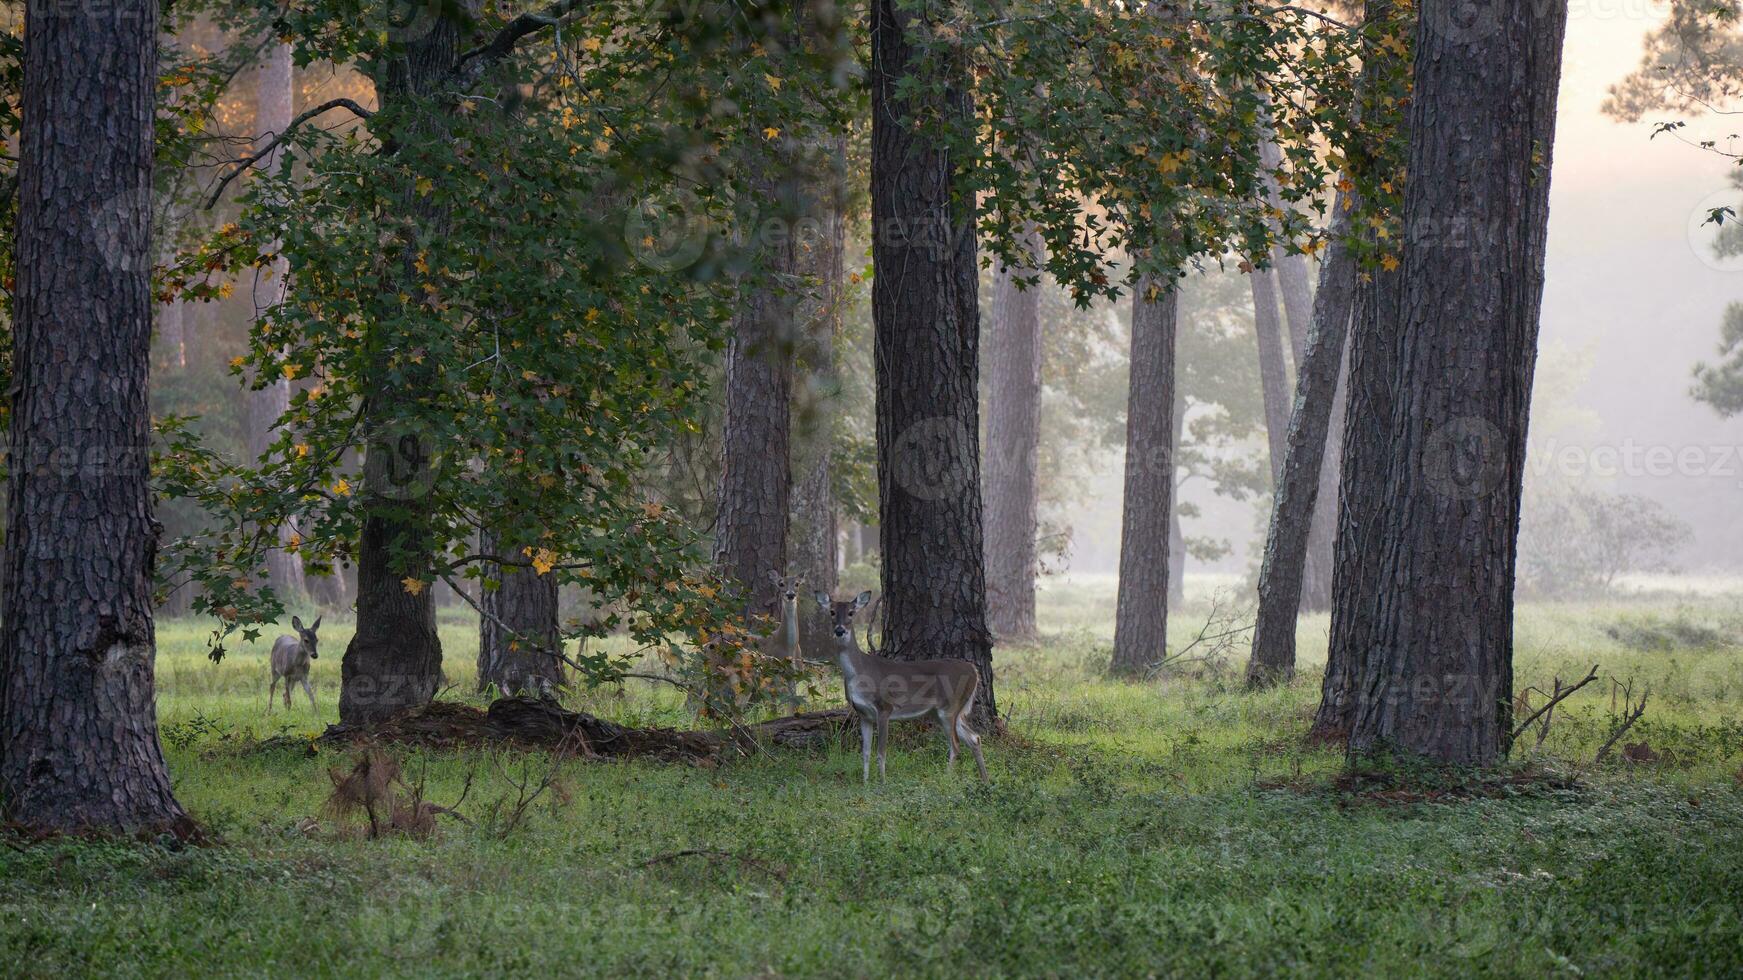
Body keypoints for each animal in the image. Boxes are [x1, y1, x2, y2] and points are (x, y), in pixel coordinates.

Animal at [812, 582, 990, 781]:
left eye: (851, 612)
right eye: (832, 612)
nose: (840, 630)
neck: (859, 673)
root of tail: (973, 670)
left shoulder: (884, 707)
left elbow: (881, 753)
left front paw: (882, 782)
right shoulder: (863, 714)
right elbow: (865, 752)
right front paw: (865, 782)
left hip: (949, 706)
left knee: (956, 744)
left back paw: (946, 779)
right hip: (942, 711)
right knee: (974, 738)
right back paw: (985, 780)